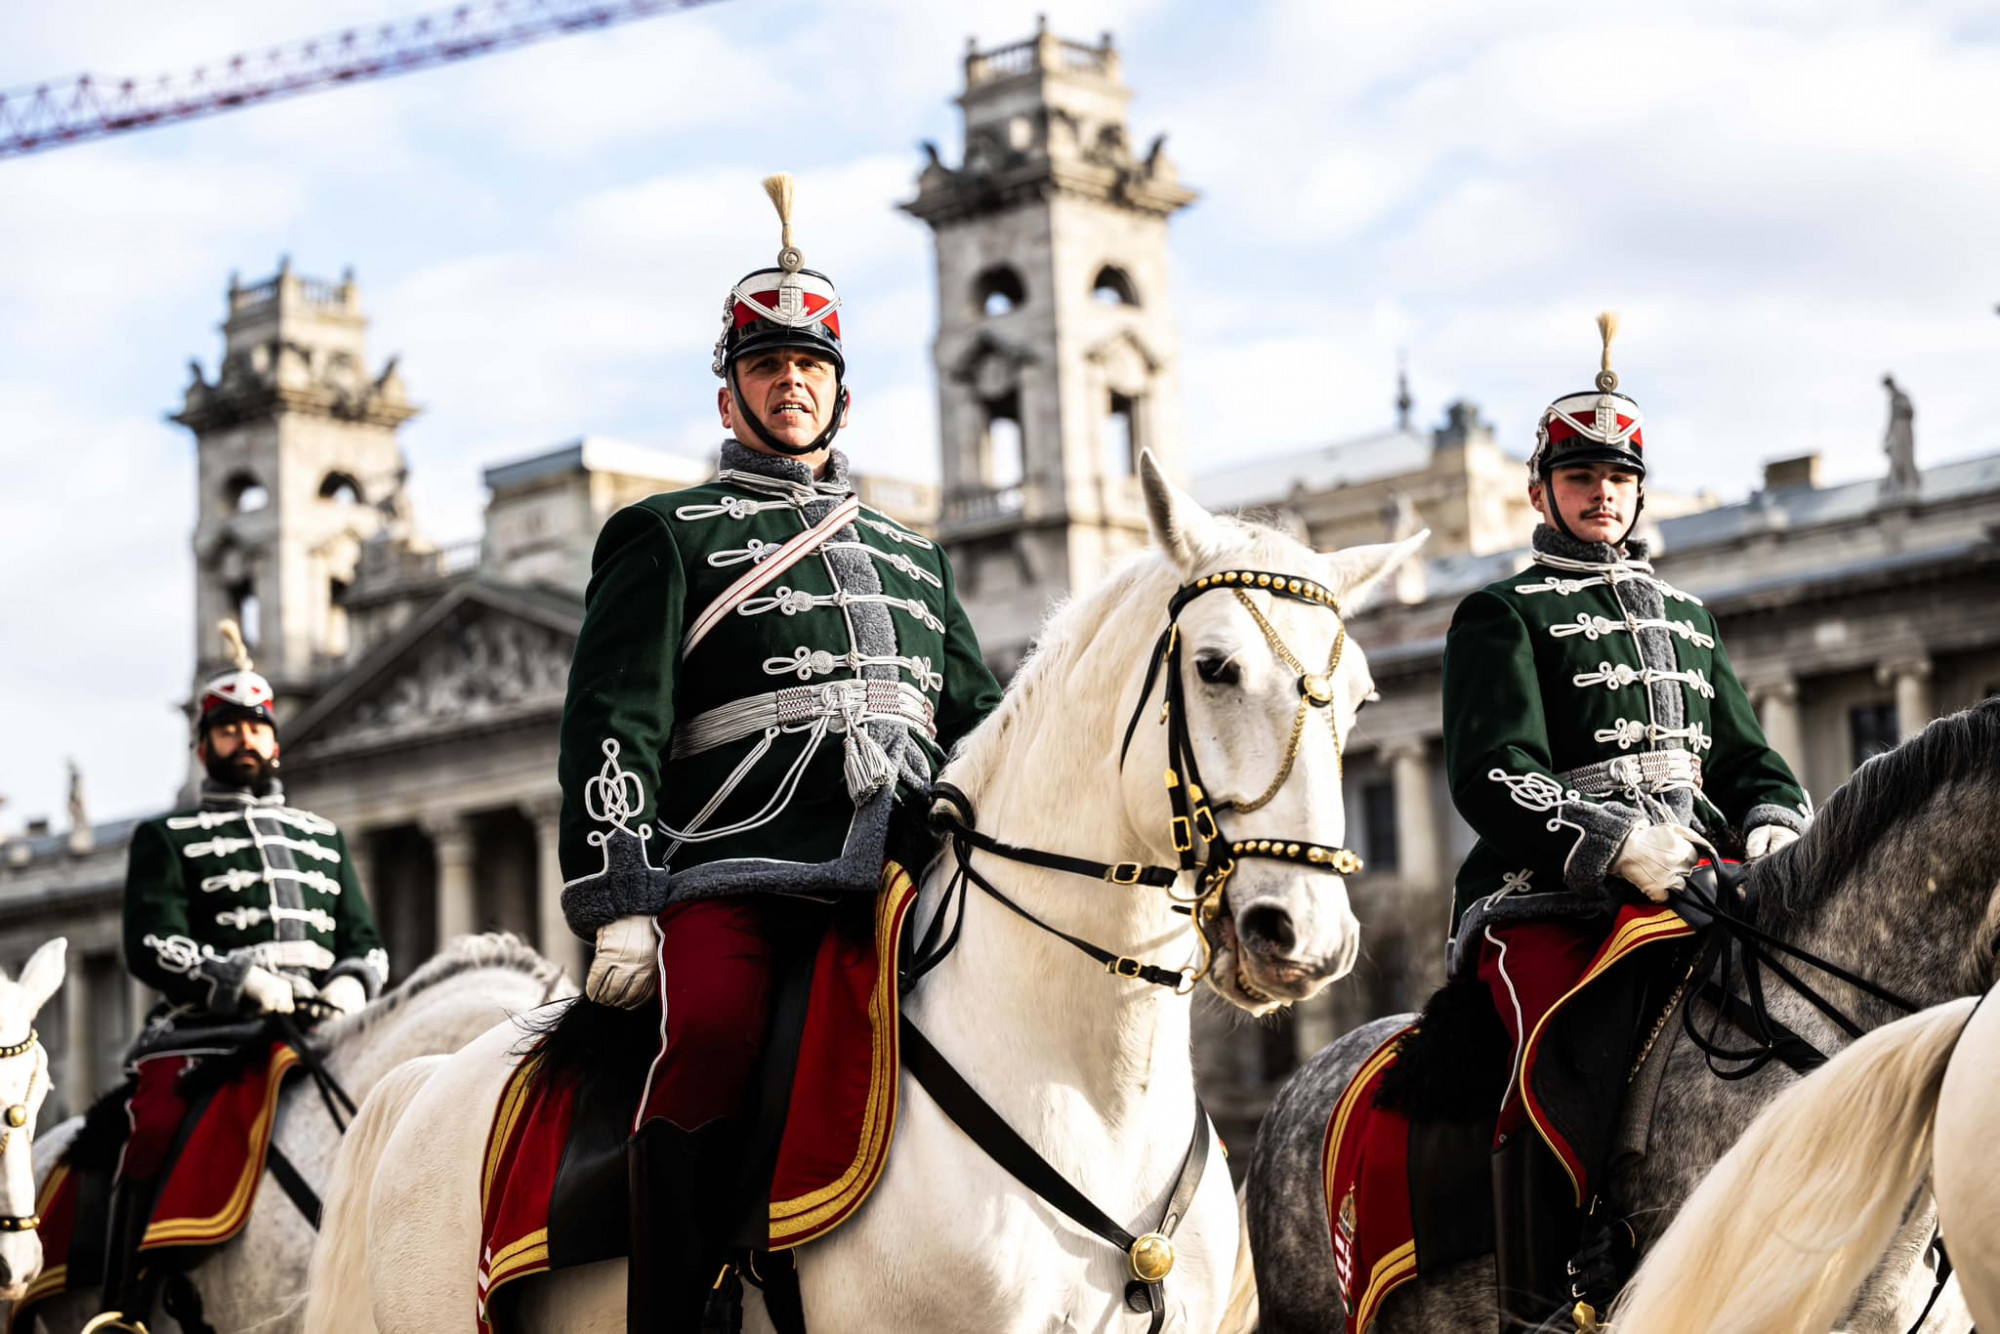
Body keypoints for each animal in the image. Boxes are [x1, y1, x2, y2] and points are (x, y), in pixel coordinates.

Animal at [299, 453, 1428, 1334]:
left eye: (1364, 697)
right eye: (1215, 666)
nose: (1301, 934)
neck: (1081, 1076)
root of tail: (426, 1082)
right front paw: (622, 942)